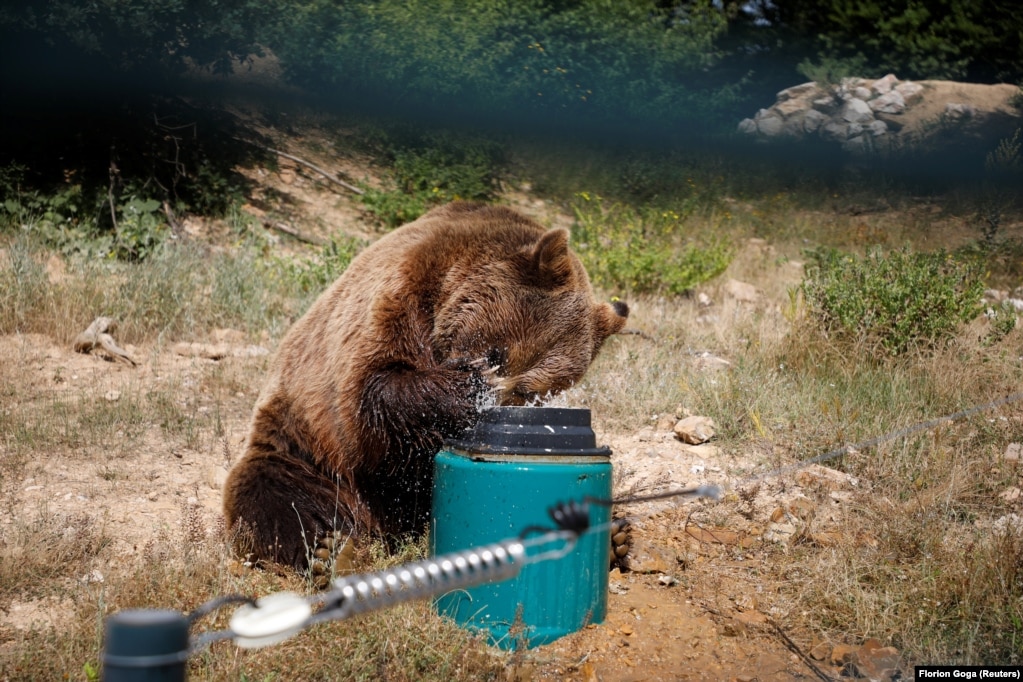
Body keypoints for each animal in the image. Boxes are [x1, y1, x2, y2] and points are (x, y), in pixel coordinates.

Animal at [220, 201, 626, 576]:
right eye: (496, 354)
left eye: (530, 392)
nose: (496, 403)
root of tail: (377, 528)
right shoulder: (395, 301)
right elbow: (373, 387)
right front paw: (466, 389)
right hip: (306, 452)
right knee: (274, 496)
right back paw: (329, 551)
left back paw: (617, 536)